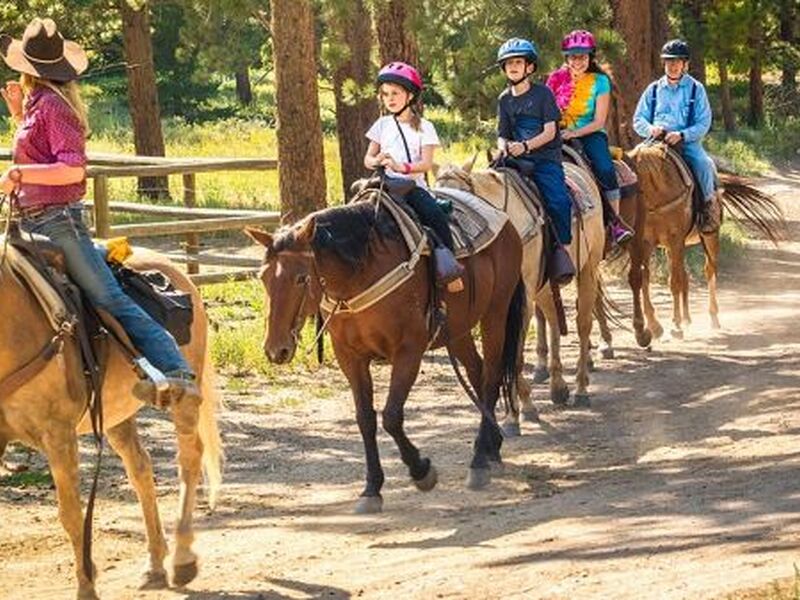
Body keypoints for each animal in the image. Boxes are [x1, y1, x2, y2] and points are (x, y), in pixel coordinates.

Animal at [0, 248, 222, 600]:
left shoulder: (59, 435)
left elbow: (72, 515)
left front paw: (86, 587)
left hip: (185, 394)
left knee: (189, 459)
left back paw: (182, 557)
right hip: (117, 415)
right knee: (141, 468)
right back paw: (155, 565)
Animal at [247, 193, 528, 516]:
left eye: (301, 278)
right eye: (263, 277)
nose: (276, 349)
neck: (360, 272)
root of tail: (504, 221)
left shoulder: (408, 350)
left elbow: (391, 417)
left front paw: (421, 471)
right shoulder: (350, 358)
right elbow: (365, 419)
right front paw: (371, 489)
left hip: (496, 313)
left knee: (491, 377)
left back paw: (480, 461)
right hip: (457, 330)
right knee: (478, 373)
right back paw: (492, 448)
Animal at [434, 157, 604, 434]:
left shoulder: (521, 300)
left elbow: (513, 354)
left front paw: (520, 411)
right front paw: (515, 413)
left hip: (588, 268)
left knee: (583, 324)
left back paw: (581, 388)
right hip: (544, 286)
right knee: (553, 319)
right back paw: (558, 386)